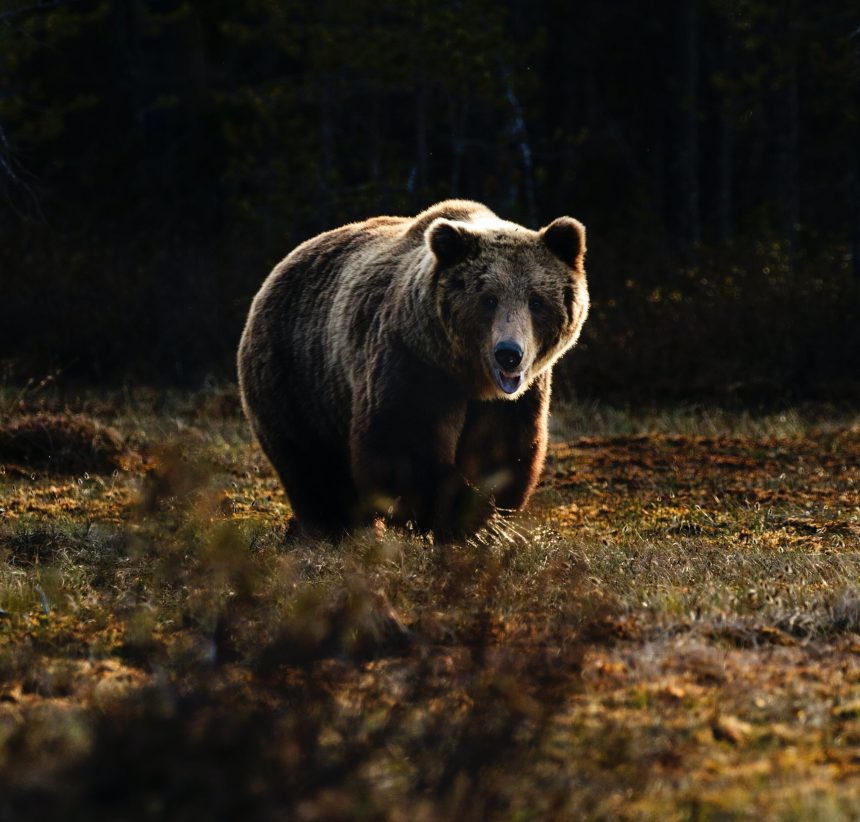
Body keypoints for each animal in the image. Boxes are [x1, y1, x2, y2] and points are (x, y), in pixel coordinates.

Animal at [237, 200, 589, 540]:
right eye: (488, 299)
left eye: (536, 301)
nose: (509, 354)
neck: (469, 376)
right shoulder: (412, 362)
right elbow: (402, 445)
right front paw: (472, 522)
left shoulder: (516, 398)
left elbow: (502, 451)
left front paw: (490, 519)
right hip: (297, 375)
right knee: (312, 464)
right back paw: (334, 528)